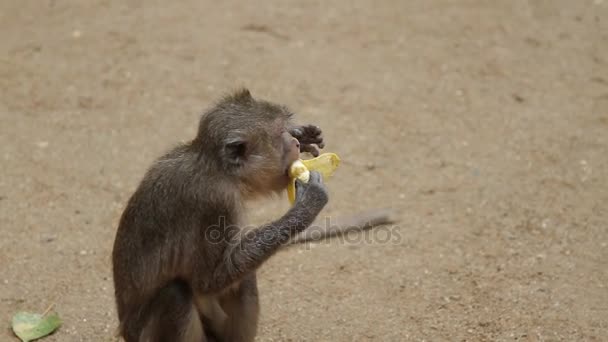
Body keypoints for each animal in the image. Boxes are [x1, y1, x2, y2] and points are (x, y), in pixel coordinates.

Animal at [111, 89, 392, 342]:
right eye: (279, 137)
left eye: (285, 131)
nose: (295, 143)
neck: (216, 167)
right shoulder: (216, 202)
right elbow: (207, 281)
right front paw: (308, 204)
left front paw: (305, 135)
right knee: (176, 294)